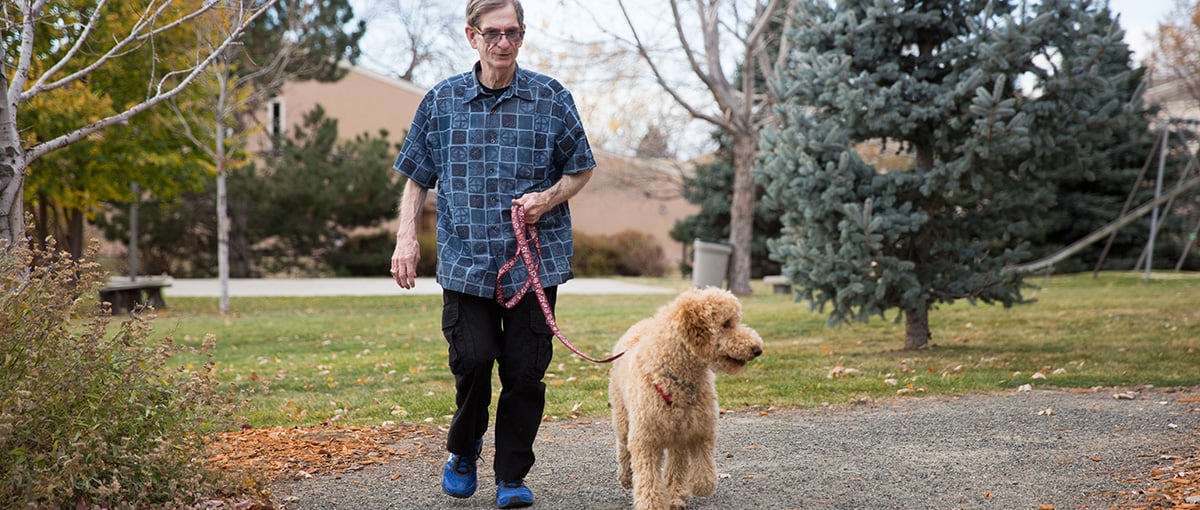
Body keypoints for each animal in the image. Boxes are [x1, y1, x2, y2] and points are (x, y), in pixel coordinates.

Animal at [608, 287, 764, 510]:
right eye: (726, 323)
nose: (758, 349)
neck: (677, 377)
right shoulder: (646, 439)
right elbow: (648, 477)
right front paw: (651, 503)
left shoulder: (697, 430)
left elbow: (700, 473)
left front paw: (686, 492)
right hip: (623, 415)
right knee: (623, 447)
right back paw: (626, 476)